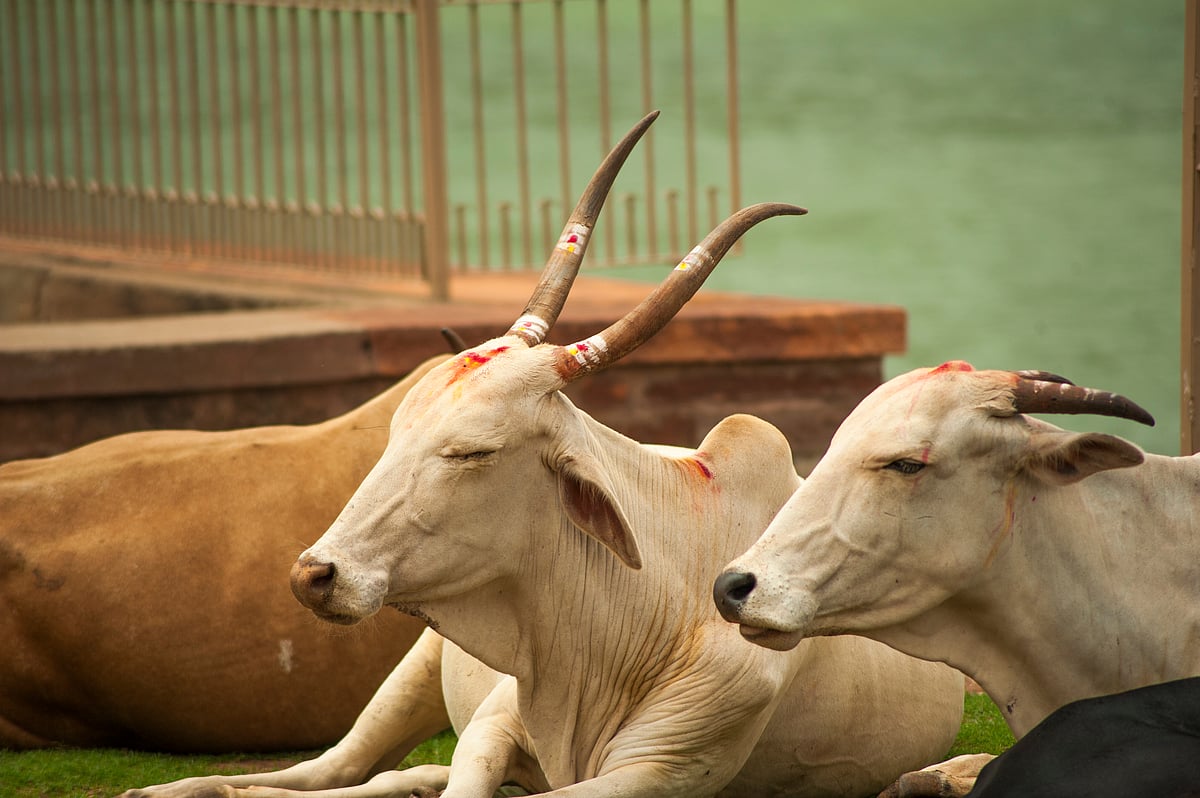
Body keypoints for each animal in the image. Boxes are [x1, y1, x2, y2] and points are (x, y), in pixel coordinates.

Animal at [120, 112, 965, 798]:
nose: (314, 575)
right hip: (411, 676)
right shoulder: (497, 722)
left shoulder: (658, 773)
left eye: (472, 451)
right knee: (338, 768)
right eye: (396, 430)